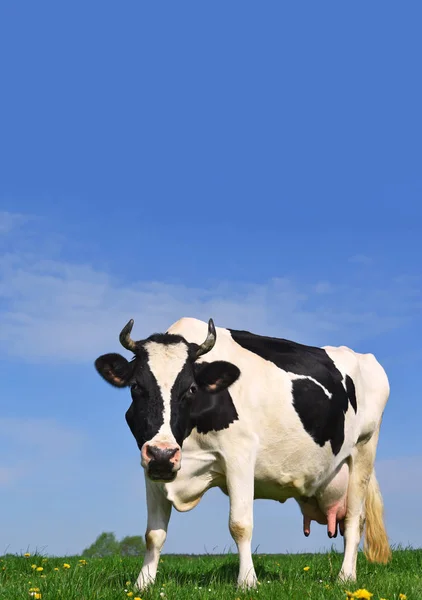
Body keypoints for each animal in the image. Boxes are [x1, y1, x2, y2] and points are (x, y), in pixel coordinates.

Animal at [94, 316, 390, 588]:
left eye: (191, 388)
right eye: (135, 387)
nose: (163, 453)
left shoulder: (240, 455)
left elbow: (240, 524)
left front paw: (247, 581)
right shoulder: (152, 468)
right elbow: (153, 534)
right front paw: (142, 584)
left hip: (364, 450)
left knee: (354, 520)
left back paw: (346, 577)